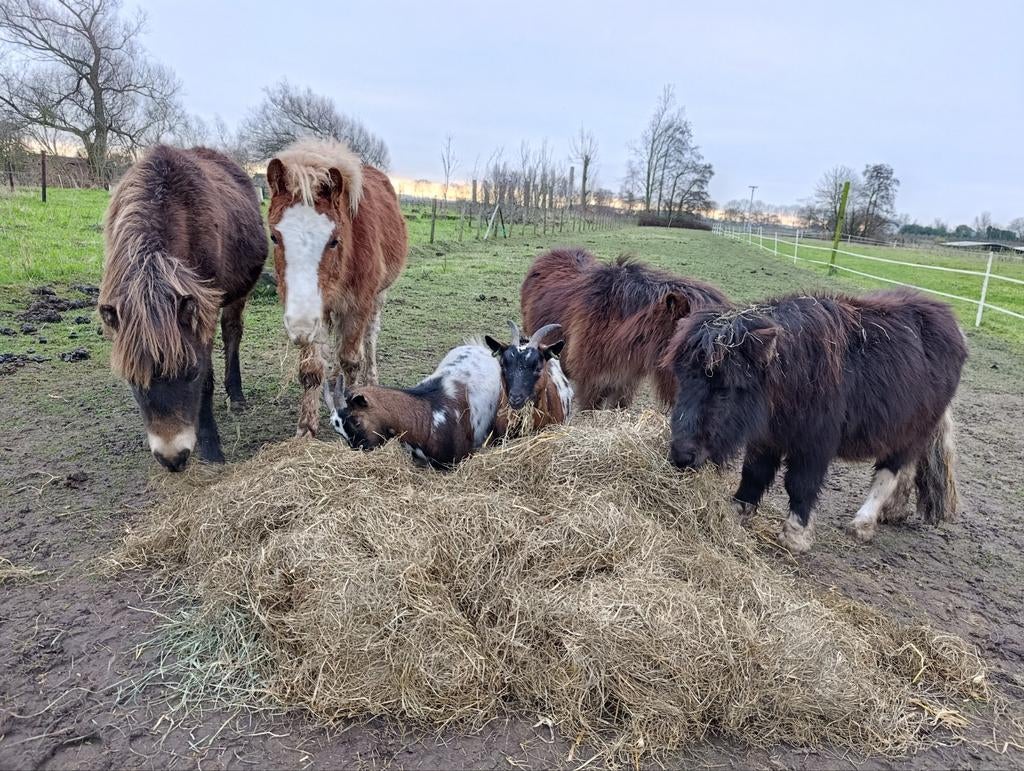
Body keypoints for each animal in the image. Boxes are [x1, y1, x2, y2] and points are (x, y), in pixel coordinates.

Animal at [98, 145, 266, 471]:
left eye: (191, 373)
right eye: (133, 381)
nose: (173, 460)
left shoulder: (205, 311)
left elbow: (207, 383)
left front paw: (211, 449)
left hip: (235, 296)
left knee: (232, 333)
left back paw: (236, 396)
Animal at [266, 137, 407, 437]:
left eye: (334, 240)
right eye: (274, 237)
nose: (299, 326)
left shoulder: (357, 305)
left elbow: (351, 360)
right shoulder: (315, 311)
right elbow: (311, 368)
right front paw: (306, 429)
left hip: (377, 298)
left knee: (370, 338)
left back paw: (370, 378)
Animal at [664, 289, 968, 553]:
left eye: (724, 388)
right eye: (682, 377)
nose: (682, 456)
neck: (795, 371)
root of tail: (952, 324)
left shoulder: (814, 445)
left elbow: (800, 484)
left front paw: (795, 536)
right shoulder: (767, 438)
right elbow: (754, 473)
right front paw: (736, 512)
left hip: (912, 428)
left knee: (889, 471)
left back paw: (862, 524)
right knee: (906, 467)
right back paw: (894, 512)